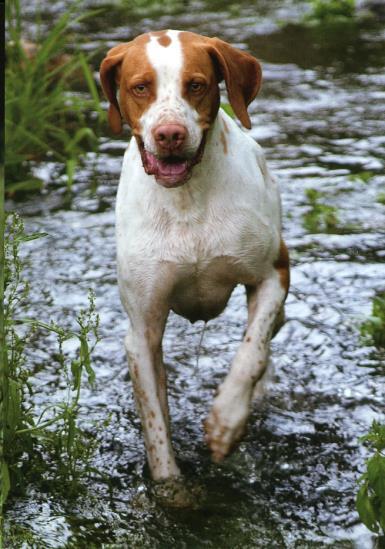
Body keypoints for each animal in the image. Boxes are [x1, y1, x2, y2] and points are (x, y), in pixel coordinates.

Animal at [99, 30, 288, 482]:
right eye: (140, 87)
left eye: (196, 85)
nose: (170, 134)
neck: (187, 199)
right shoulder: (142, 334)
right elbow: (156, 430)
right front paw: (173, 491)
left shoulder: (274, 273)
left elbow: (250, 353)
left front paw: (226, 421)